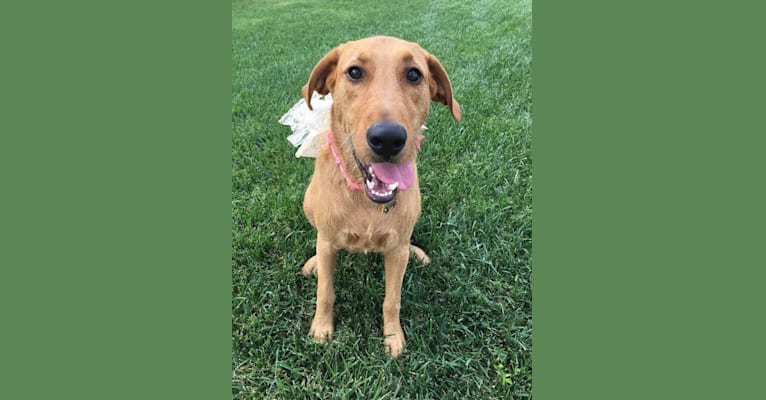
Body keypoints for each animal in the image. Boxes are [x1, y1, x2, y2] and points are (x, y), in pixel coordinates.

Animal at [298, 36, 462, 358]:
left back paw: (416, 252)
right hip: (308, 204)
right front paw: (322, 327)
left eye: (414, 74)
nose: (387, 138)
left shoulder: (395, 252)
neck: (365, 200)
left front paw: (393, 337)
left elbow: (392, 300)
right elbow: (325, 291)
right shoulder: (328, 243)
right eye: (354, 72)